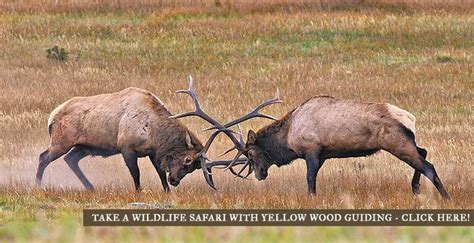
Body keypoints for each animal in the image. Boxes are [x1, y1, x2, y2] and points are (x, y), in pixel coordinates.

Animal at [211, 95, 448, 199]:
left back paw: (444, 196)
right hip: (407, 141)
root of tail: (410, 118)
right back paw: (415, 188)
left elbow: (309, 178)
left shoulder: (311, 150)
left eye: (251, 153)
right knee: (424, 152)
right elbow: (314, 176)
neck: (288, 137)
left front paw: (311, 198)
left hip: (396, 143)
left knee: (428, 165)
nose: (259, 174)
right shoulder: (323, 155)